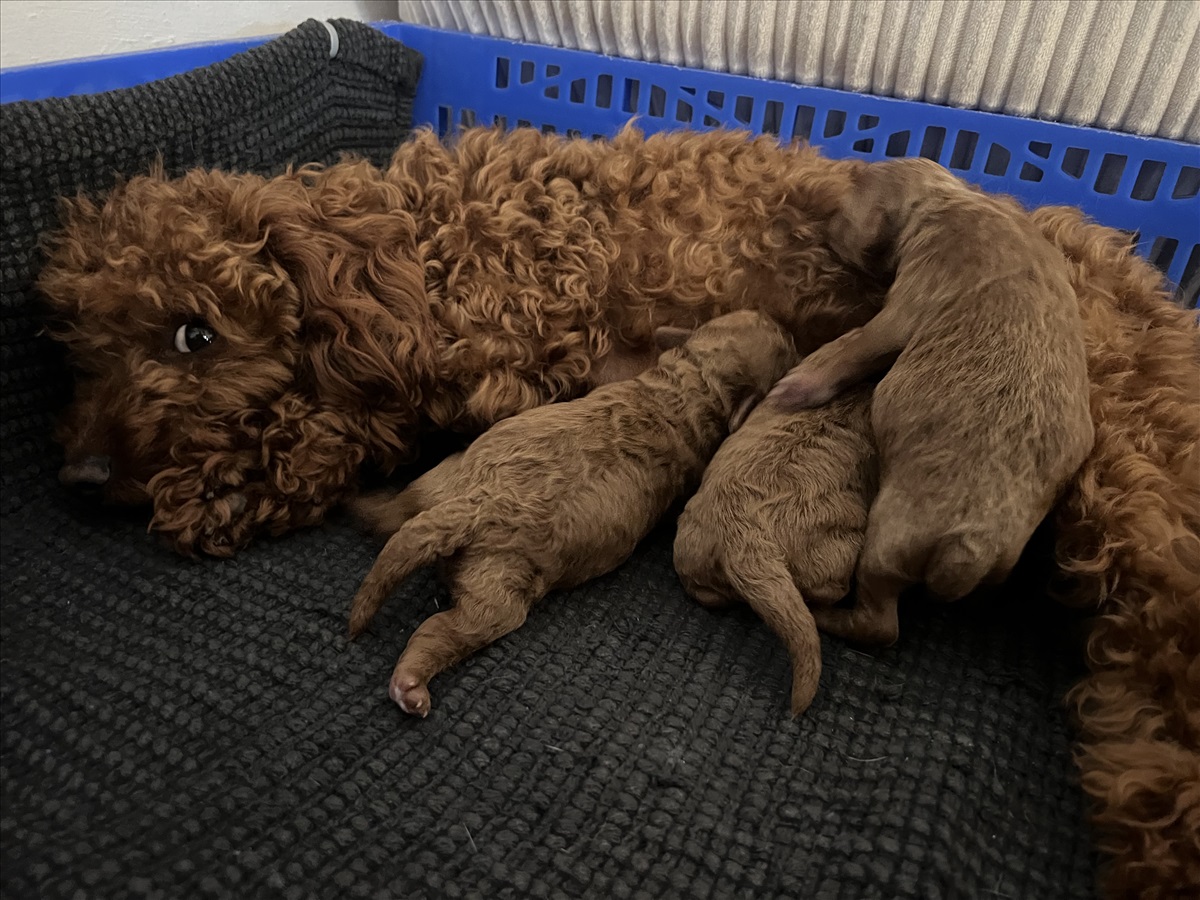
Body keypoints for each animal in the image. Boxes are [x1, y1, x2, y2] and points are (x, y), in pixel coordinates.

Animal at [348, 312, 796, 720]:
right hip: (499, 578)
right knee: (456, 625)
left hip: (444, 480)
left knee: (399, 512)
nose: (784, 324)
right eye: (785, 345)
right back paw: (410, 685)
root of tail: (475, 505)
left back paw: (365, 505)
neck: (688, 385)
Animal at [768, 157, 1099, 648]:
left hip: (890, 540)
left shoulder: (909, 300)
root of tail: (973, 547)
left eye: (844, 213)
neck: (949, 197)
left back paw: (827, 615)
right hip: (1002, 560)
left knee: (880, 624)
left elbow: (856, 346)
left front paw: (792, 389)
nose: (823, 223)